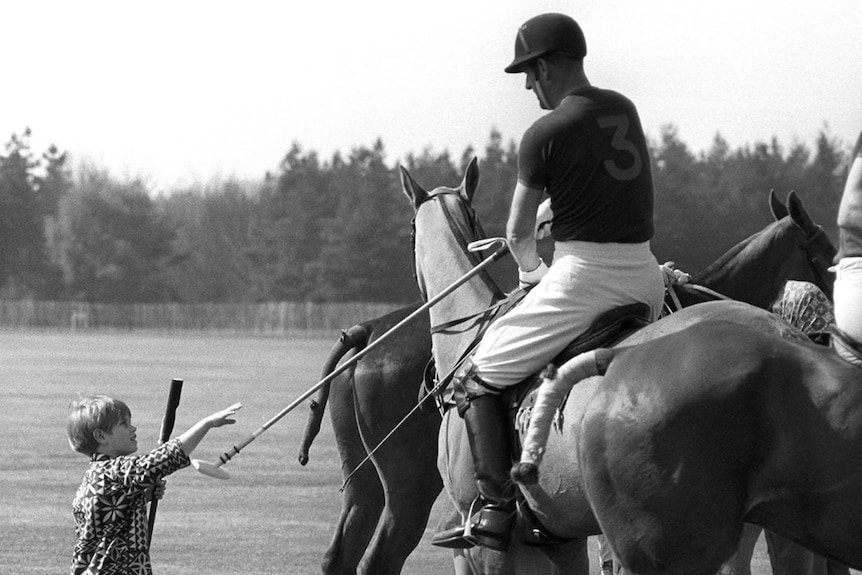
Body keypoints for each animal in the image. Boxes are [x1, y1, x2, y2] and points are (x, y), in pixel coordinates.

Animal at [298, 159, 836, 575]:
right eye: (826, 255)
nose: (837, 334)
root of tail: (367, 330)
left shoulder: (522, 537)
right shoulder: (553, 533)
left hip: (399, 490)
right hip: (385, 485)